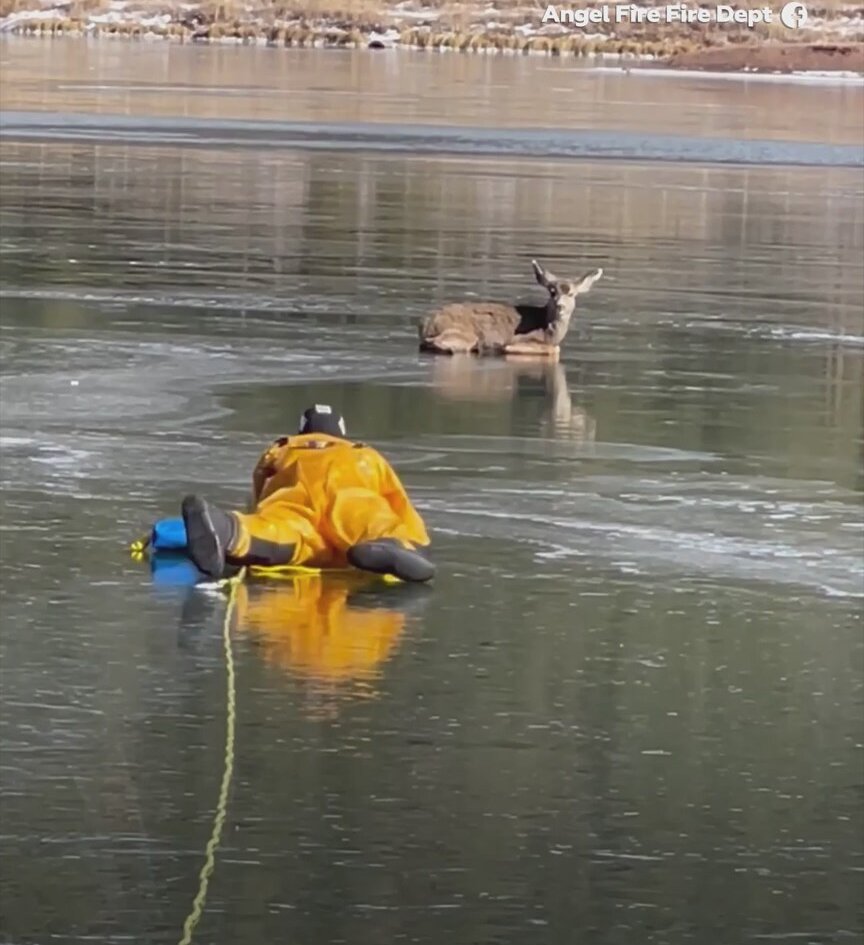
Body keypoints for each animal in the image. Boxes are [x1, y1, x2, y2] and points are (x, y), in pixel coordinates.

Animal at [416, 258, 600, 358]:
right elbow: (555, 350)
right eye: (551, 291)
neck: (549, 331)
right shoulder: (520, 340)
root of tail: (425, 324)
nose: (560, 306)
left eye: (572, 294)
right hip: (464, 334)